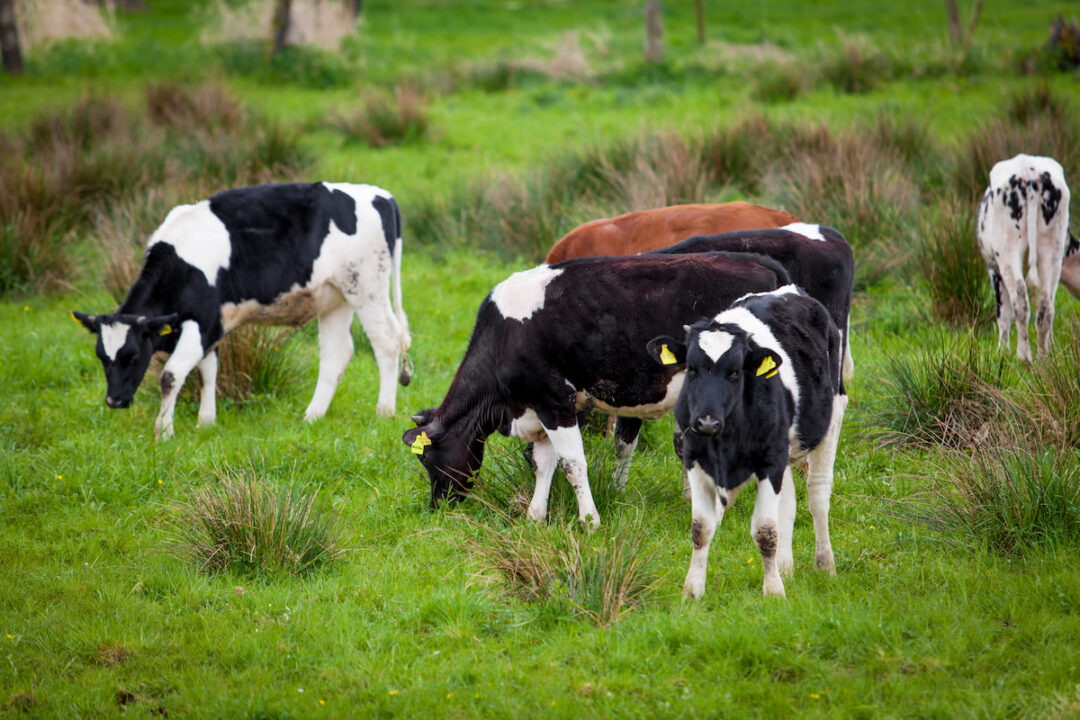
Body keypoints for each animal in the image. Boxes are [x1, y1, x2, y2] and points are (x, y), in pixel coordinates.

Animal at [73, 181, 412, 440]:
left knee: (387, 342)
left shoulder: (203, 321)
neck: (180, 264)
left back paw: (384, 412)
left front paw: (164, 432)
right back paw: (312, 416)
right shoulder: (212, 325)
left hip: (366, 287)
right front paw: (206, 422)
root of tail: (381, 195)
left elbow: (171, 375)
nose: (114, 400)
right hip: (335, 297)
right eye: (101, 356)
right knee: (336, 354)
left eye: (133, 356)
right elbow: (208, 371)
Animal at [401, 252, 792, 528]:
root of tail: (759, 260)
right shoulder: (544, 406)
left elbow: (572, 463)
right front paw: (535, 516)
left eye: (428, 459)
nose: (437, 506)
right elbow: (545, 463)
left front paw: (590, 520)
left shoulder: (554, 400)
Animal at [647, 286, 846, 599]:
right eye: (690, 369)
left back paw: (825, 565)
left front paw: (773, 591)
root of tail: (790, 290)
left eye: (735, 372)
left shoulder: (769, 462)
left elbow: (765, 531)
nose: (706, 422)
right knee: (788, 502)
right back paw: (785, 568)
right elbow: (701, 528)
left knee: (818, 496)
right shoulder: (694, 458)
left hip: (833, 415)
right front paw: (692, 590)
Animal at [976, 154, 1071, 362]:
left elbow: (1003, 313)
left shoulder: (994, 271)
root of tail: (1029, 171)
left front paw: (1001, 351)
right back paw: (1044, 357)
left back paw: (1024, 355)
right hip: (1052, 250)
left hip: (1007, 252)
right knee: (1046, 305)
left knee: (1020, 302)